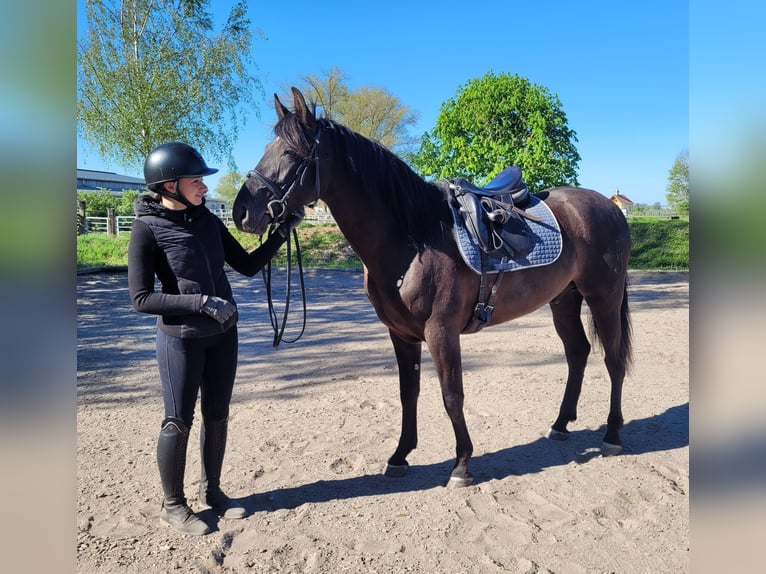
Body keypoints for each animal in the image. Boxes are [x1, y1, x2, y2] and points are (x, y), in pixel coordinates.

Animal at [233, 87, 632, 487]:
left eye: (289, 152)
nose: (241, 212)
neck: (413, 241)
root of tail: (608, 207)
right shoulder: (401, 334)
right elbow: (409, 392)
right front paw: (400, 456)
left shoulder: (441, 331)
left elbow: (451, 395)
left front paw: (462, 465)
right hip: (564, 299)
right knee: (577, 353)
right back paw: (561, 424)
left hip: (604, 298)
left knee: (613, 360)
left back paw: (612, 435)